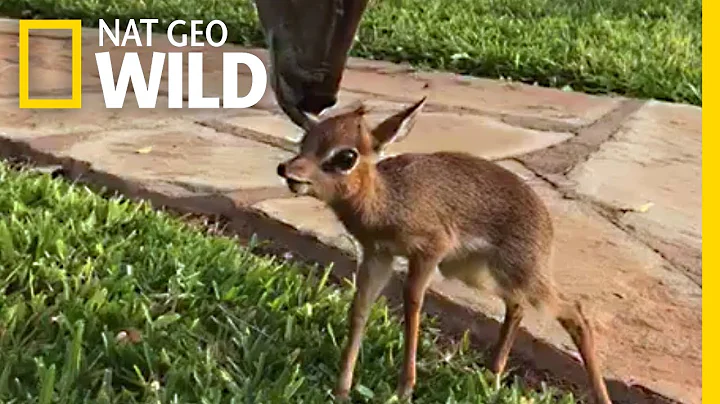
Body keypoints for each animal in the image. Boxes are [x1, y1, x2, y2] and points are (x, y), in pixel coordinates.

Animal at [275, 98, 612, 404]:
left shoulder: (429, 250)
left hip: (523, 274)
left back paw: (601, 396)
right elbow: (360, 308)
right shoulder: (377, 255)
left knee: (575, 313)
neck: (388, 201)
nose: (287, 169)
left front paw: (404, 389)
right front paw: (341, 390)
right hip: (480, 273)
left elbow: (412, 303)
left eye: (347, 156)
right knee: (517, 308)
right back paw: (493, 374)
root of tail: (544, 216)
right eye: (305, 140)